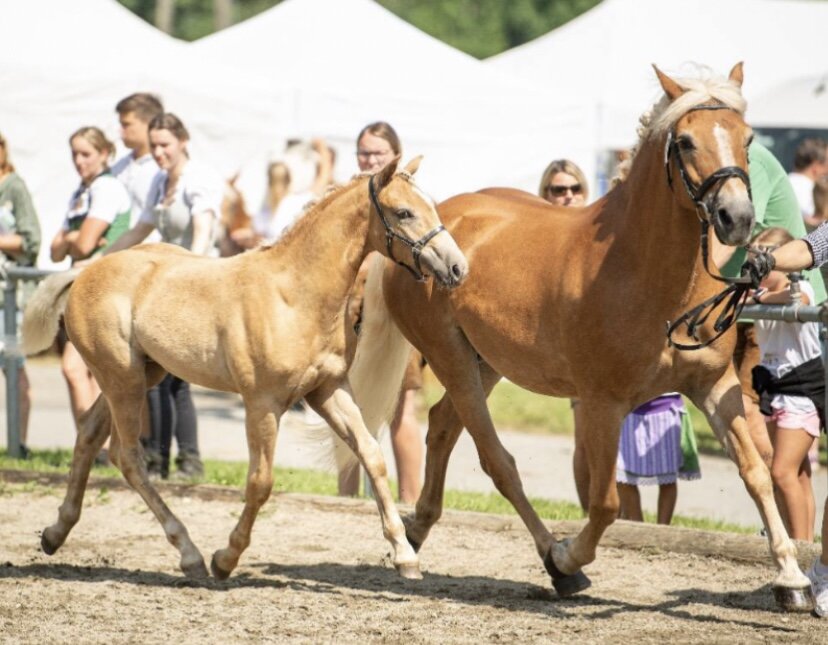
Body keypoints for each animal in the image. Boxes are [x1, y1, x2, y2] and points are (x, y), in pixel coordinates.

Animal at [21, 156, 466, 580]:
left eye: (431, 206)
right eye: (404, 212)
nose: (457, 267)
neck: (295, 294)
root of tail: (85, 271)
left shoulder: (328, 390)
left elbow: (371, 454)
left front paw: (405, 556)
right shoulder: (263, 403)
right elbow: (260, 482)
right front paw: (225, 559)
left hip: (141, 374)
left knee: (89, 434)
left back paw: (55, 534)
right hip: (122, 379)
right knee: (127, 456)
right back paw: (190, 554)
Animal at [342, 66, 816, 612]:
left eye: (749, 138)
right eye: (686, 141)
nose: (736, 219)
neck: (646, 274)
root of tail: (429, 231)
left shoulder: (715, 388)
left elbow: (756, 473)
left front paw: (792, 578)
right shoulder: (602, 404)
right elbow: (605, 503)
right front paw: (568, 557)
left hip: (486, 363)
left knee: (441, 426)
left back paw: (416, 530)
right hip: (451, 357)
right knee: (497, 461)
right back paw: (552, 559)